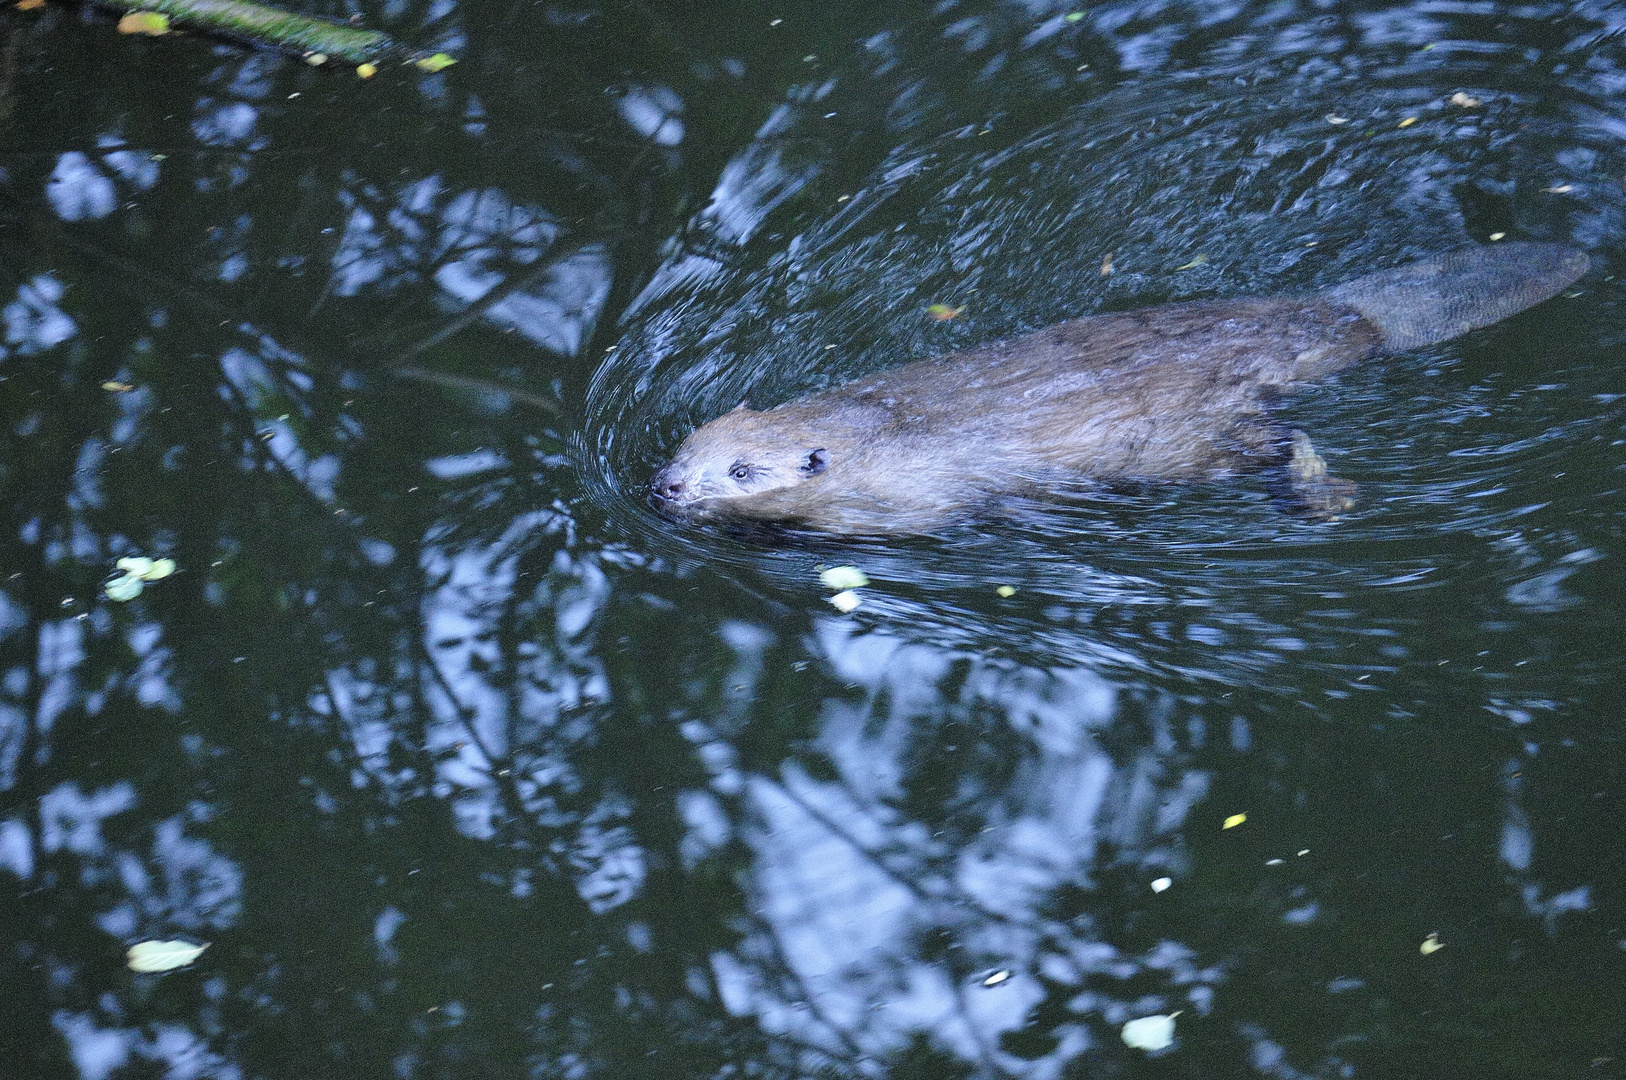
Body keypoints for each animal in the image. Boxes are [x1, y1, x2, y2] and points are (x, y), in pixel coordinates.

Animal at [647, 240, 1586, 536]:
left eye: (741, 470)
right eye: (688, 445)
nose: (666, 488)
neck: (867, 425)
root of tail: (1357, 317)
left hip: (1193, 440)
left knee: (1277, 442)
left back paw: (1322, 495)